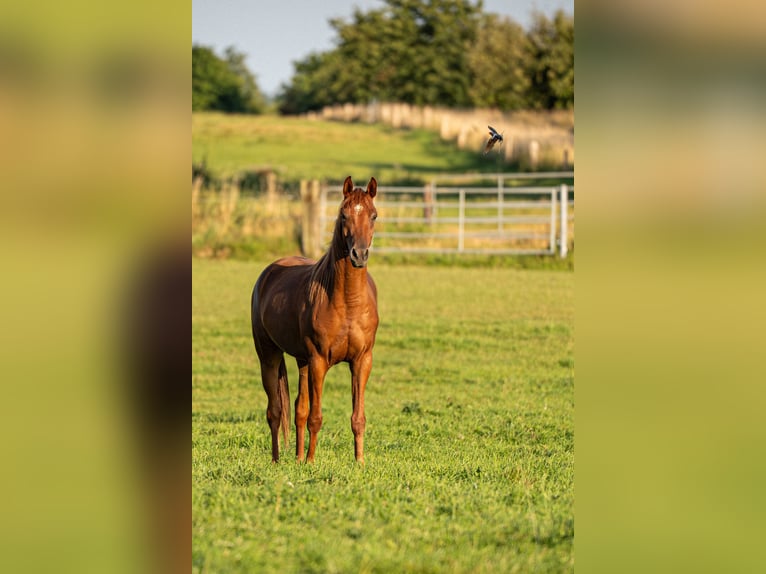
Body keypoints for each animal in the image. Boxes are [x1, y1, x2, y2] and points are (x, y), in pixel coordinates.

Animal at [251, 176, 379, 463]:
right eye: (343, 215)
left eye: (374, 216)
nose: (359, 255)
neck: (347, 302)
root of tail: (269, 272)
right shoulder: (319, 361)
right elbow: (316, 417)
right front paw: (311, 462)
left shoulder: (362, 361)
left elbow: (357, 417)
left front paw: (360, 462)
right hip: (269, 356)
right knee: (275, 412)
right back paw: (277, 460)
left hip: (302, 362)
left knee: (298, 409)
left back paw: (297, 458)